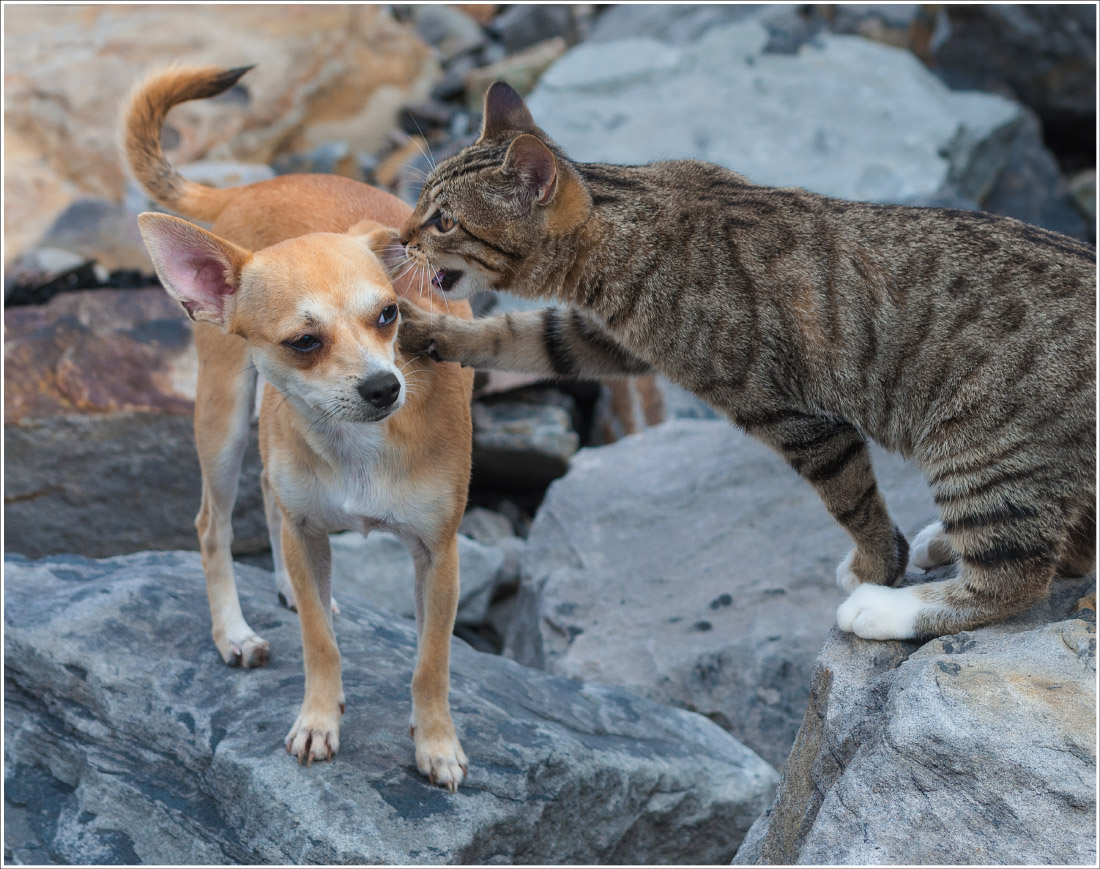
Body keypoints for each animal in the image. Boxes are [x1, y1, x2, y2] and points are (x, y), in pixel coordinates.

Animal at [123, 64, 473, 792]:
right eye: (303, 341)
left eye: (390, 316)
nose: (384, 386)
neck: (355, 446)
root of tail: (257, 185)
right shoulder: (311, 529)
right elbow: (320, 642)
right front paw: (318, 718)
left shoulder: (439, 552)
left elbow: (431, 658)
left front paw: (436, 743)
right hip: (224, 417)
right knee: (215, 523)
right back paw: (233, 632)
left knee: (271, 500)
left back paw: (283, 584)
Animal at [393, 83, 1091, 638]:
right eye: (420, 202)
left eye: (443, 221)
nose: (399, 239)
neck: (627, 219)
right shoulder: (606, 336)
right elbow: (519, 335)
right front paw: (421, 331)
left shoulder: (792, 415)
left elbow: (853, 503)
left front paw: (876, 567)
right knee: (1068, 552)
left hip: (981, 450)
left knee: (1017, 580)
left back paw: (891, 610)